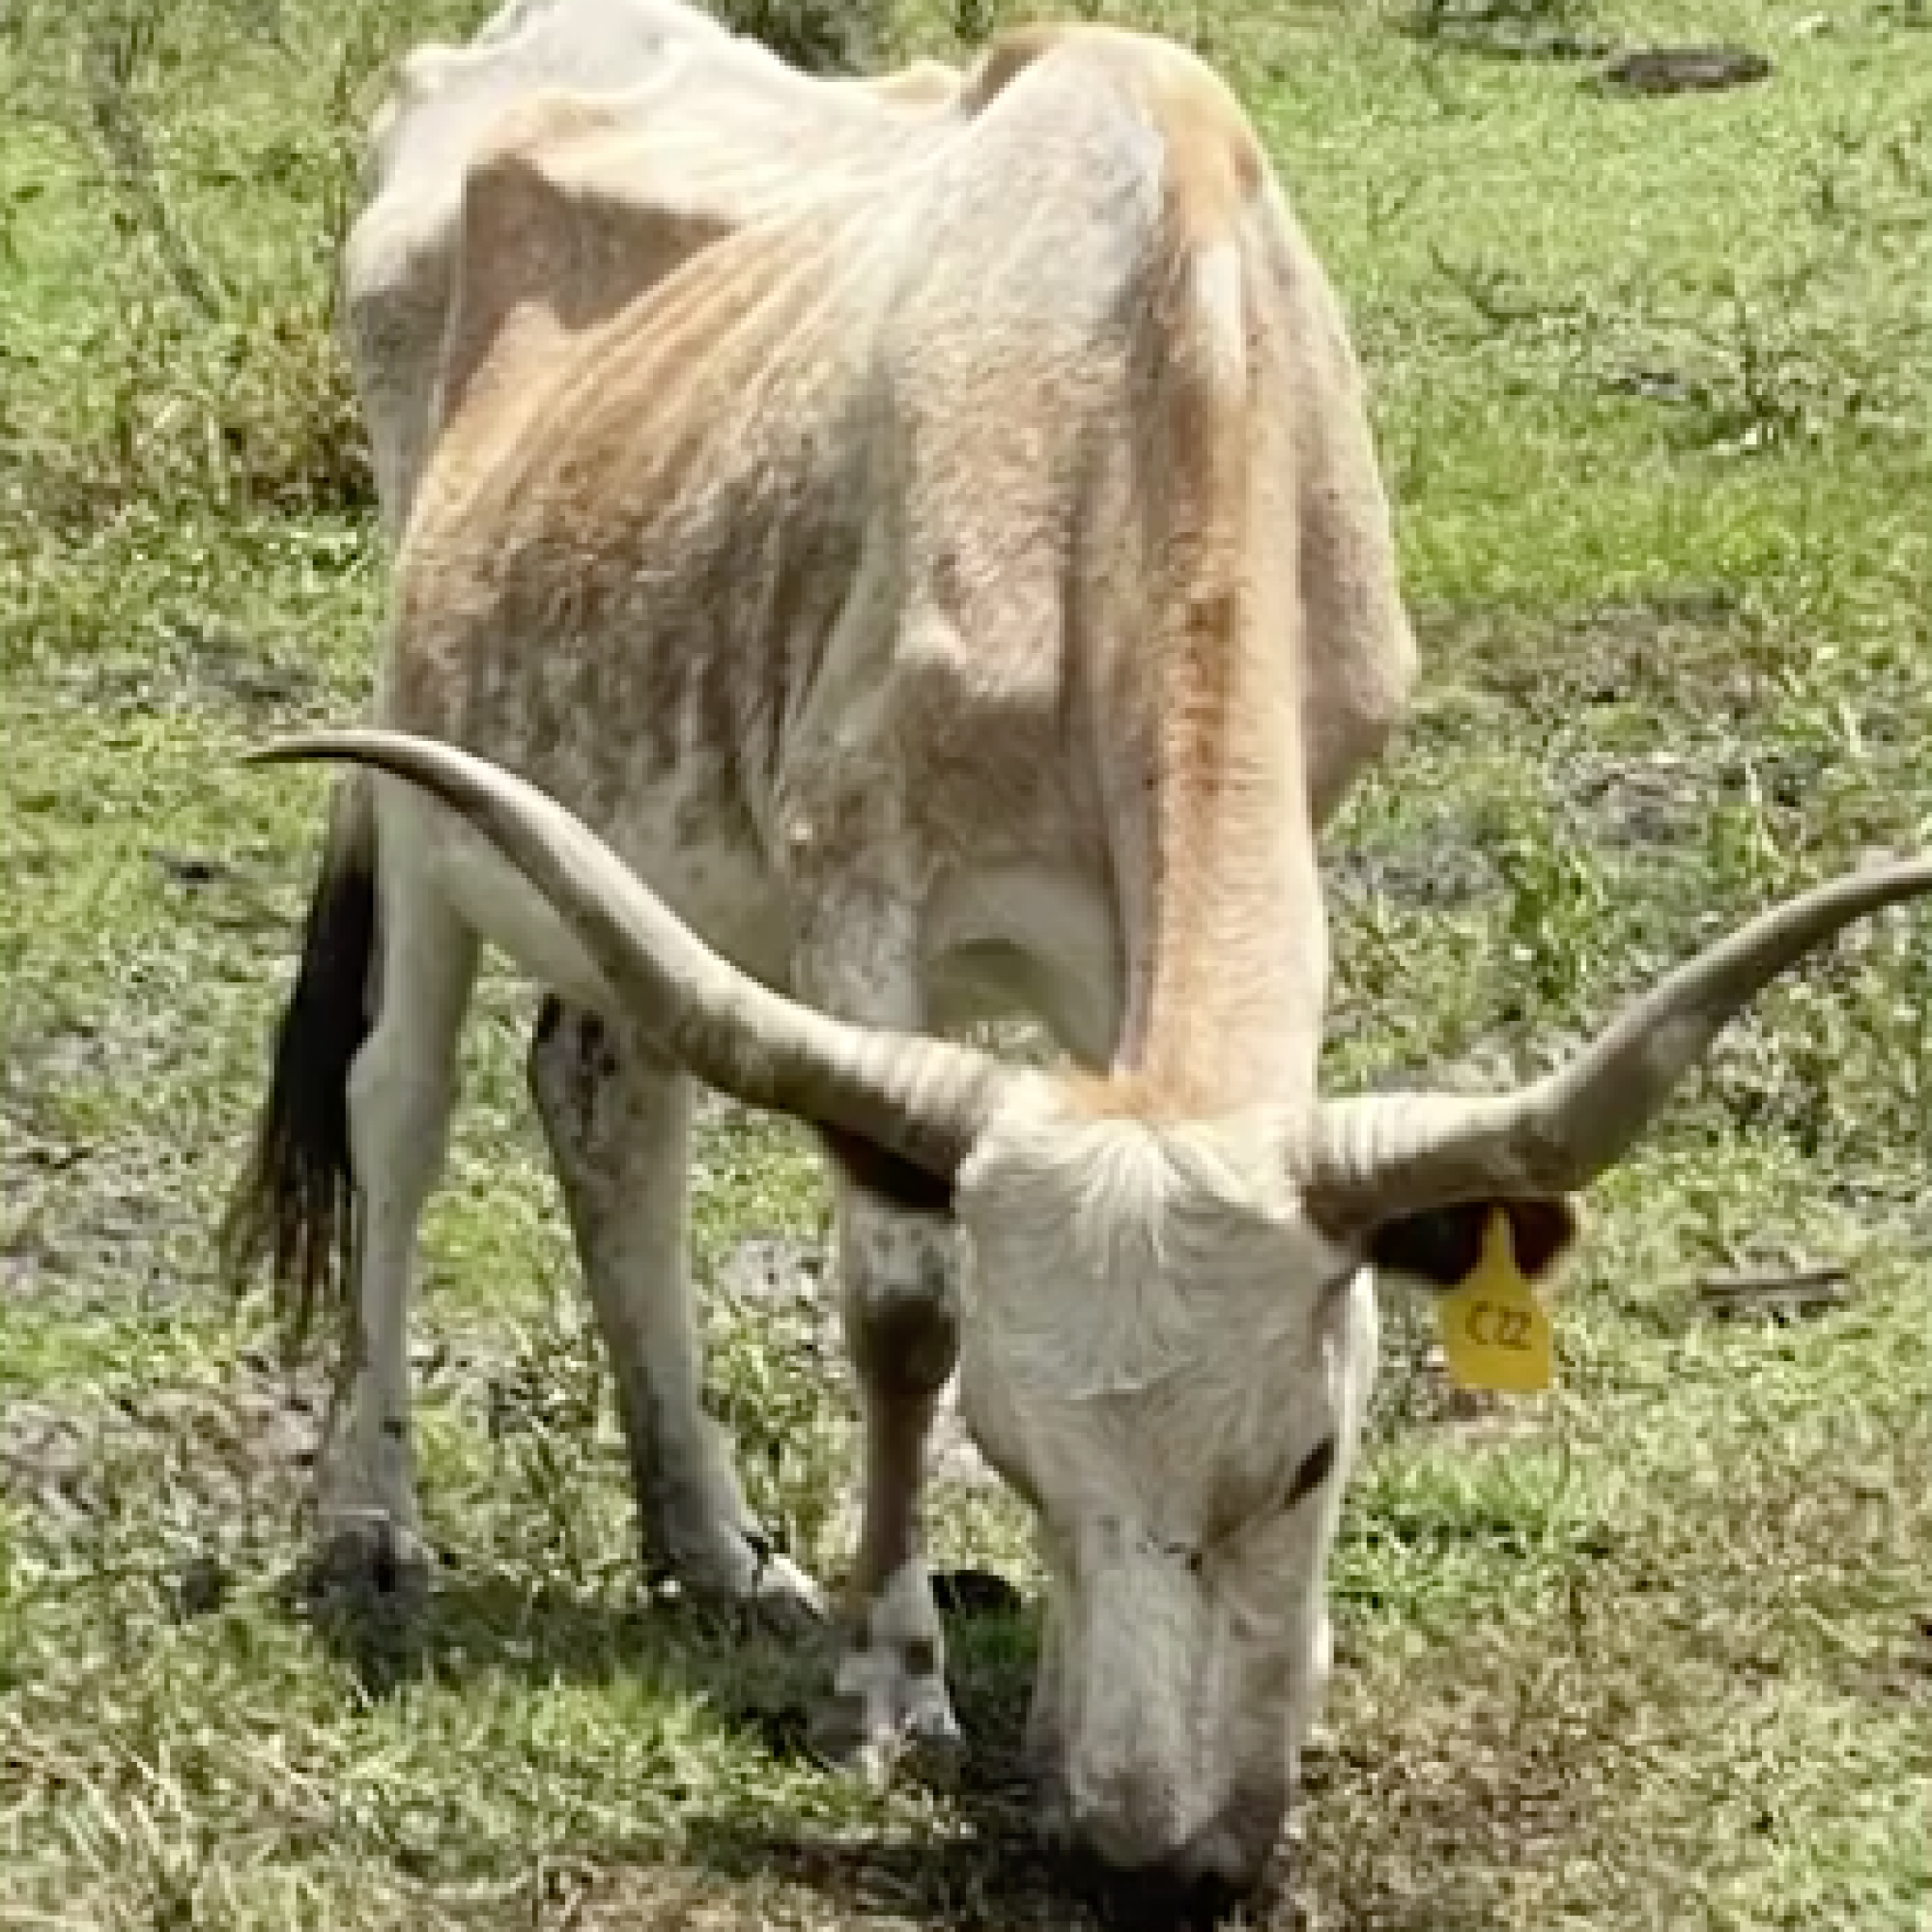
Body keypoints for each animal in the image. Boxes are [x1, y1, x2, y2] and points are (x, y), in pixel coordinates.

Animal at [226, 17, 1932, 1906]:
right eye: (1014, 1457)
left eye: (1313, 1459)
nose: (1149, 1855)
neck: (1137, 382)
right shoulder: (858, 892)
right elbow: (900, 1305)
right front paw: (892, 1685)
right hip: (430, 790)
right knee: (397, 1107)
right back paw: (374, 1522)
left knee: (610, 1107)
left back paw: (711, 1542)